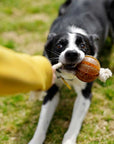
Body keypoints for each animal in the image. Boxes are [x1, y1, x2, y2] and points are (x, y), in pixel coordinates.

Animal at [28, 0, 113, 144]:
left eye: (83, 45)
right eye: (59, 45)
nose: (72, 53)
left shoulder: (85, 94)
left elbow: (74, 124)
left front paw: (68, 140)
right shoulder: (51, 90)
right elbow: (43, 121)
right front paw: (35, 140)